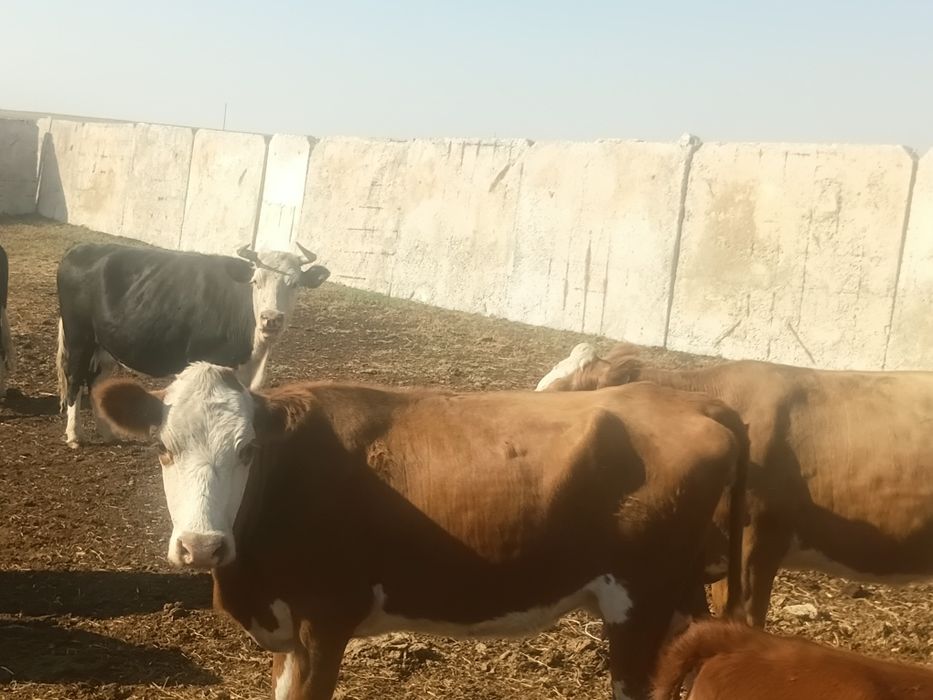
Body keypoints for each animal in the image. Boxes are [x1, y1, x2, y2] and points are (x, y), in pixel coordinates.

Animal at [56, 242, 329, 448]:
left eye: (295, 283)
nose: (271, 318)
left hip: (103, 347)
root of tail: (81, 248)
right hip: (79, 336)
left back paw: (108, 432)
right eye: (256, 281)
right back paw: (74, 436)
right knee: (75, 379)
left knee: (95, 382)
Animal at [93, 362, 749, 700]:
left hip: (637, 604)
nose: (202, 545)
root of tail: (691, 401)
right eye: (163, 449)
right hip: (677, 599)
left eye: (248, 450)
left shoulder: (325, 619)